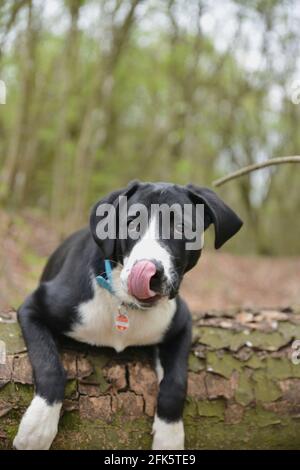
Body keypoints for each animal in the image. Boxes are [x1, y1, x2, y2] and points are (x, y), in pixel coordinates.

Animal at [14, 180, 244, 448]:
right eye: (132, 223)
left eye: (182, 226)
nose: (150, 272)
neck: (125, 305)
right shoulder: (34, 307)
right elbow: (50, 365)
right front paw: (37, 428)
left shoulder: (181, 324)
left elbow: (176, 382)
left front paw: (170, 437)